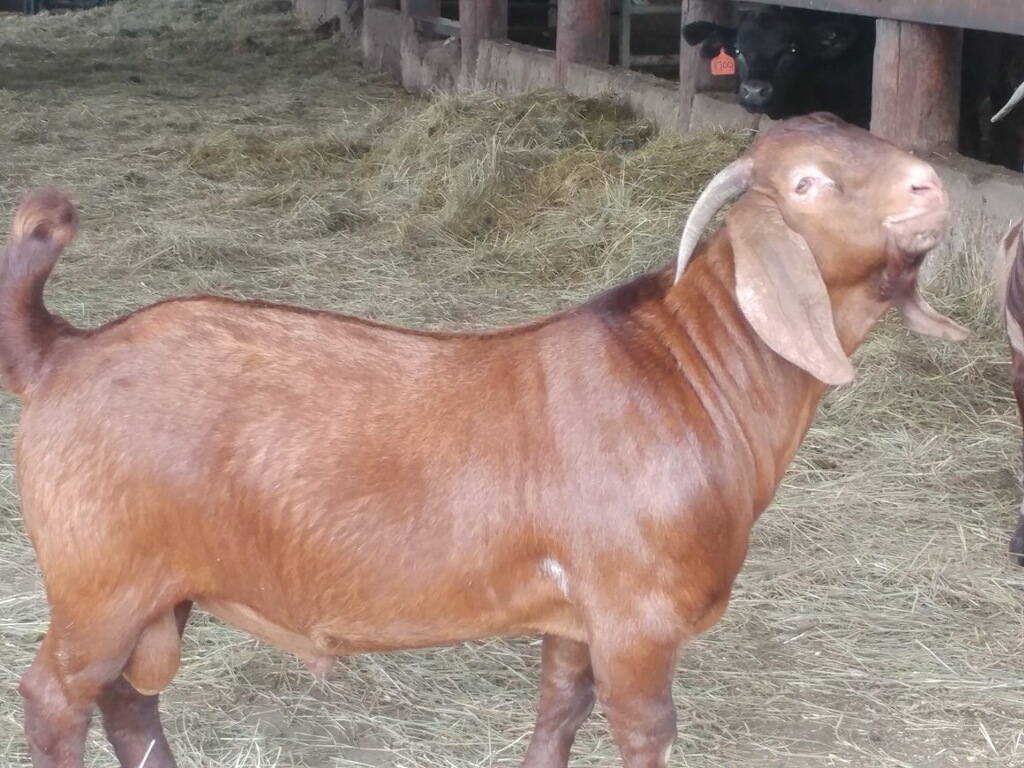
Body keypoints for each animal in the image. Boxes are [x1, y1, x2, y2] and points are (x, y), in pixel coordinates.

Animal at [3, 113, 968, 768]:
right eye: (807, 184)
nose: (932, 186)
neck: (691, 373)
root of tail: (60, 350)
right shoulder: (638, 621)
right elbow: (644, 731)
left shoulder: (578, 618)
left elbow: (558, 710)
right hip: (100, 584)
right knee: (56, 695)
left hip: (155, 591)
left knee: (128, 701)